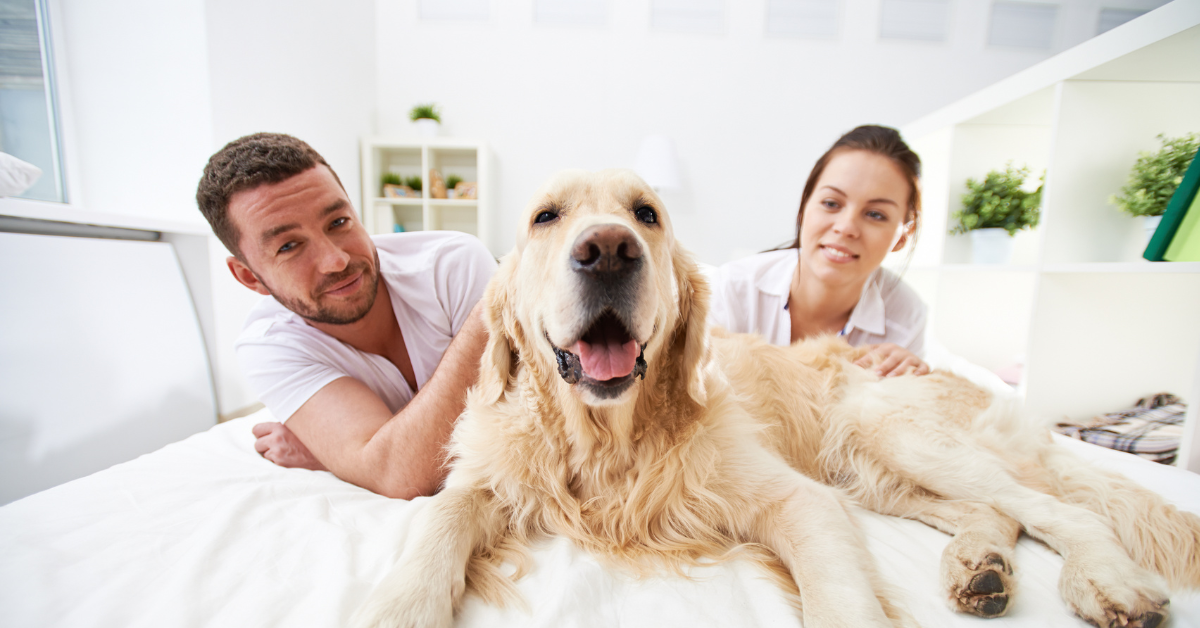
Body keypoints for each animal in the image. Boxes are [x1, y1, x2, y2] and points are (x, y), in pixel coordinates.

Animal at [350, 170, 1195, 628]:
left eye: (646, 215)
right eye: (545, 218)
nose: (608, 249)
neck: (612, 438)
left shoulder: (798, 500)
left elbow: (840, 596)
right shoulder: (494, 480)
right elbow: (441, 516)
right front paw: (398, 603)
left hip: (888, 429)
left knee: (1060, 511)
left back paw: (1109, 584)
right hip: (871, 469)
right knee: (999, 514)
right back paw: (979, 565)